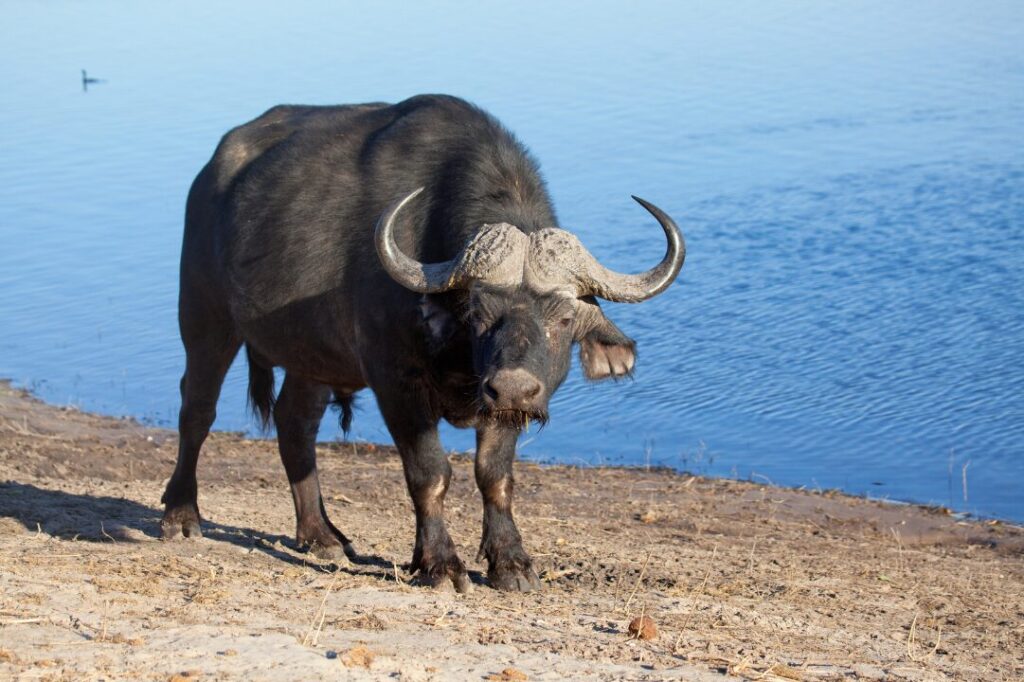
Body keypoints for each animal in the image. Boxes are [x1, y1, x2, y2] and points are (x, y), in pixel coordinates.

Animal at [160, 94, 685, 592]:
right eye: (476, 311)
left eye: (564, 316)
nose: (514, 388)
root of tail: (213, 173)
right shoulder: (396, 383)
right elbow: (431, 474)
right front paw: (440, 564)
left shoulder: (500, 406)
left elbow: (494, 476)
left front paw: (511, 563)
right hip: (205, 315)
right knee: (197, 409)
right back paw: (181, 515)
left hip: (312, 357)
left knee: (295, 424)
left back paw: (321, 535)